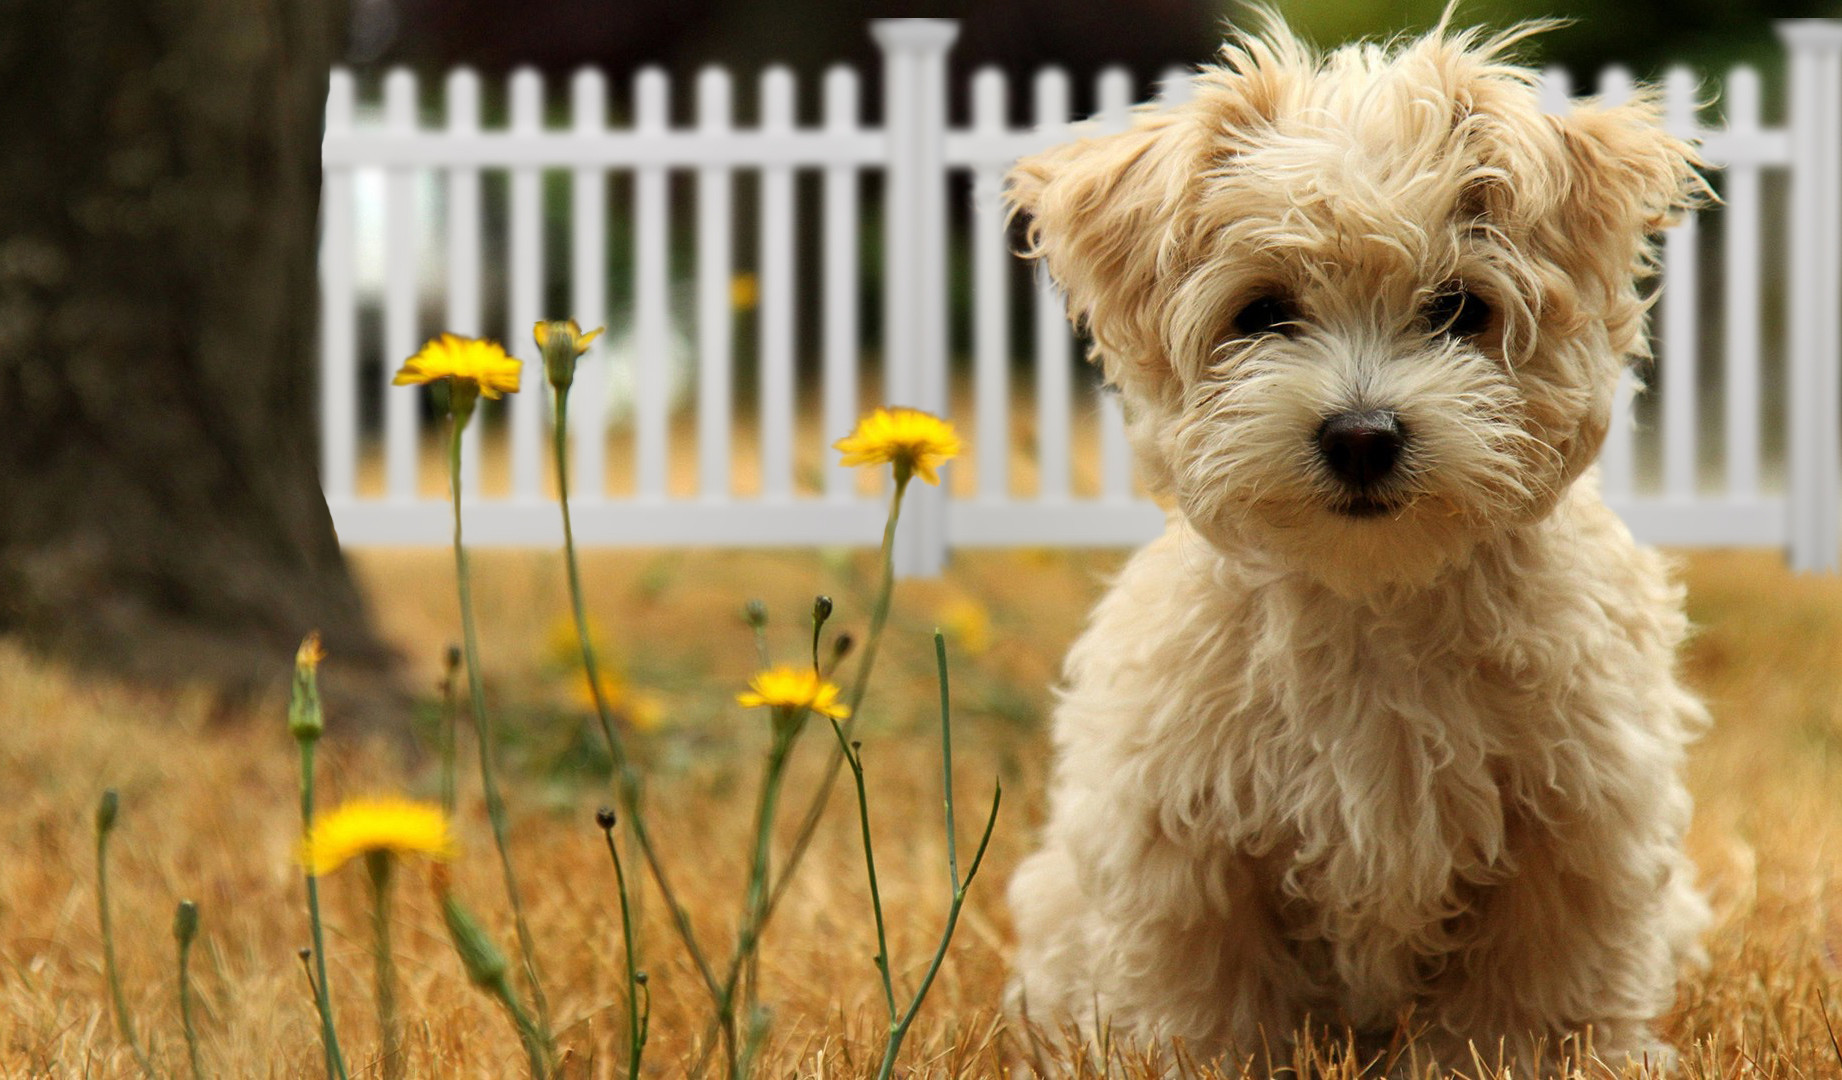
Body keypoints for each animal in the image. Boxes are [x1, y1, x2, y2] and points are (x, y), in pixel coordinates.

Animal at [1016, 14, 1702, 1068]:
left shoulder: (1577, 822)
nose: (1362, 435)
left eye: (1459, 308)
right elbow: (1204, 993)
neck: (1375, 598)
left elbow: (1532, 993)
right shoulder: (1184, 834)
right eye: (1262, 312)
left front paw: (1525, 1060)